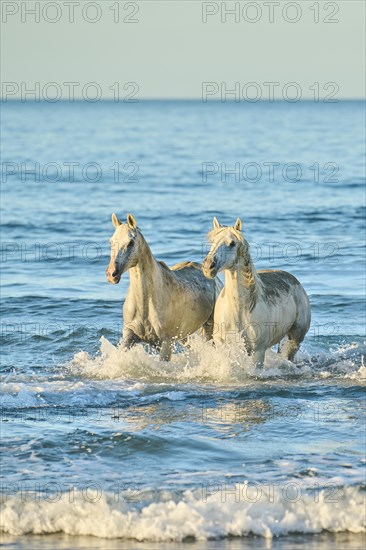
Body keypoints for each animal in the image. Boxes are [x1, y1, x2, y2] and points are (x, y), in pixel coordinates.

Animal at [106, 212, 223, 362]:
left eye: (130, 242)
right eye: (111, 241)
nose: (112, 274)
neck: (146, 303)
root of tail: (216, 280)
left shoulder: (166, 343)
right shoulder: (129, 334)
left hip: (209, 329)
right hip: (185, 336)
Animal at [202, 218, 310, 368]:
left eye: (232, 243)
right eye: (212, 241)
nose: (208, 266)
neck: (240, 308)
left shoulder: (257, 351)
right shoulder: (224, 346)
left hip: (293, 340)